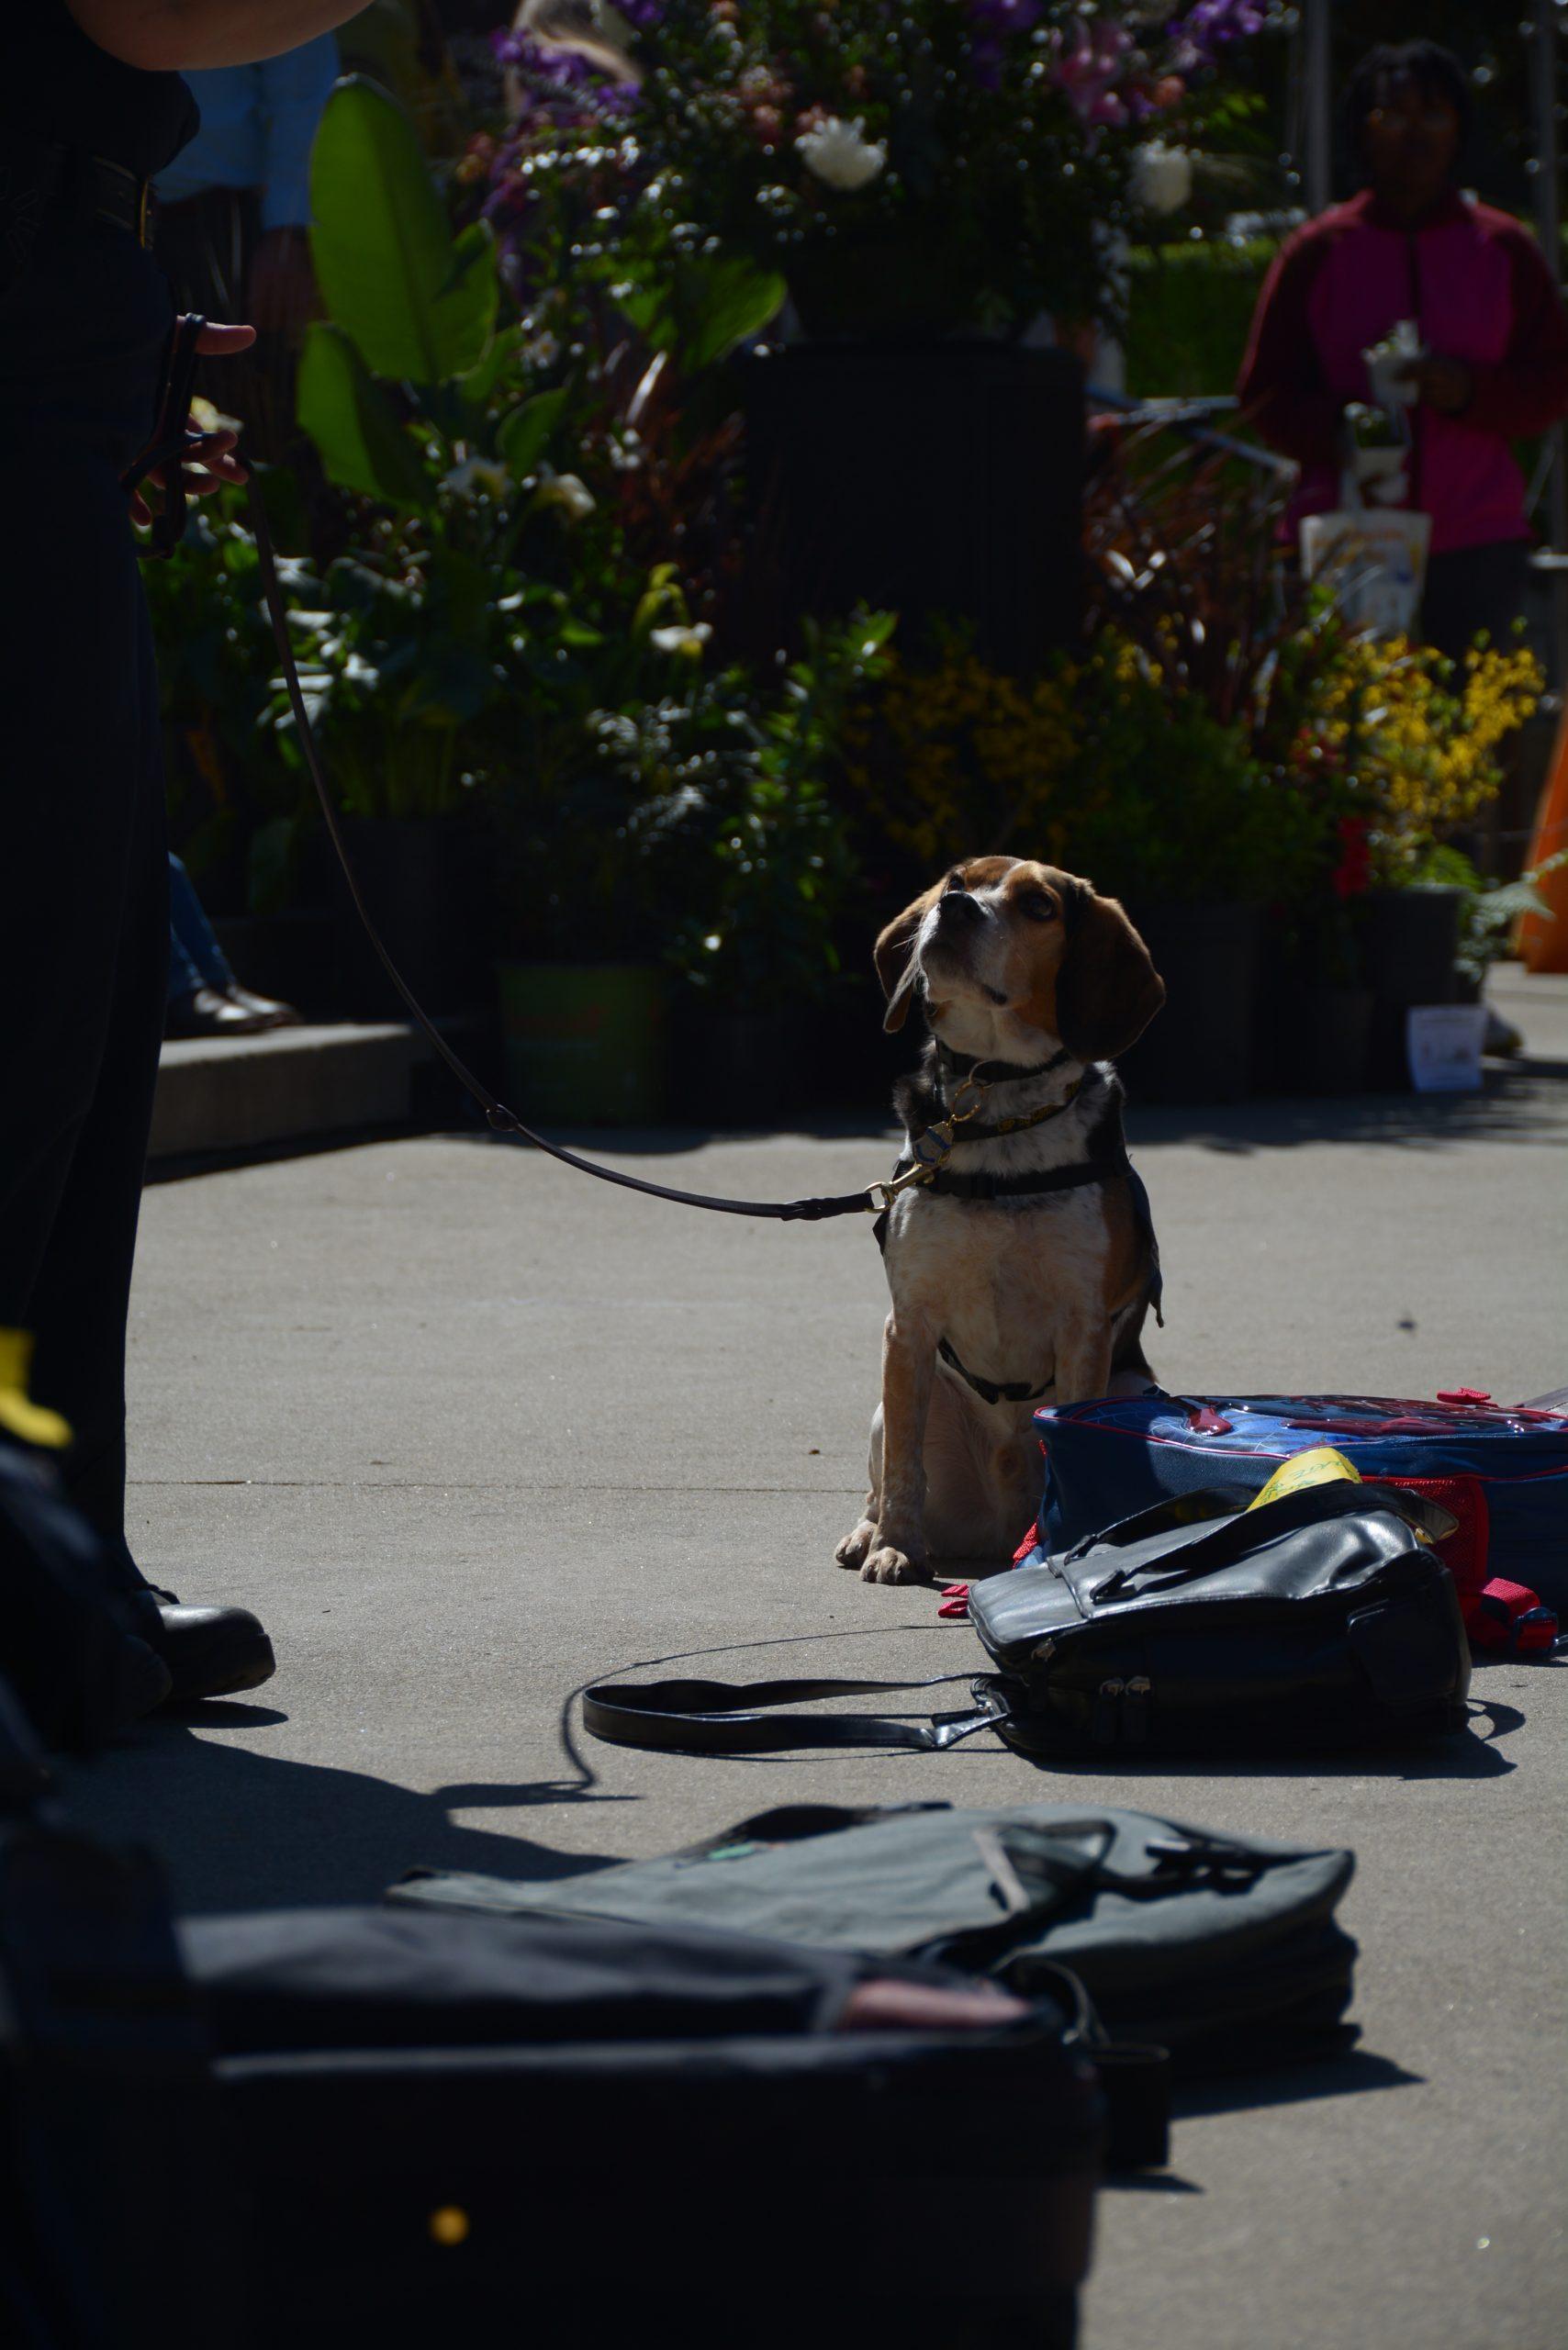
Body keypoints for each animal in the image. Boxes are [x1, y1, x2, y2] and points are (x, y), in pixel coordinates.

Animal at [846, 869, 1166, 1597]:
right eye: (957, 880)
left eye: (1039, 905)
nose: (953, 907)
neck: (993, 1103)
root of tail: (998, 1526)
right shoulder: (908, 1324)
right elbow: (904, 1469)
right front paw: (895, 1548)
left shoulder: (1083, 1328)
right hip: (893, 1403)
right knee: (884, 1475)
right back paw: (866, 1534)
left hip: (1139, 1393)